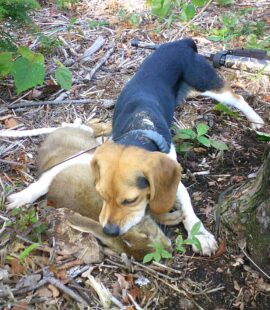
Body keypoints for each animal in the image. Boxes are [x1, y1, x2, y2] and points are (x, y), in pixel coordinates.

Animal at [6, 39, 264, 256]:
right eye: (101, 195)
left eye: (130, 201)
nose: (109, 231)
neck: (138, 131)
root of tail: (180, 42)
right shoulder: (87, 159)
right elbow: (46, 179)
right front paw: (22, 197)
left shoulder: (172, 176)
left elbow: (188, 203)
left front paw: (200, 235)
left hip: (206, 82)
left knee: (237, 98)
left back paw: (257, 122)